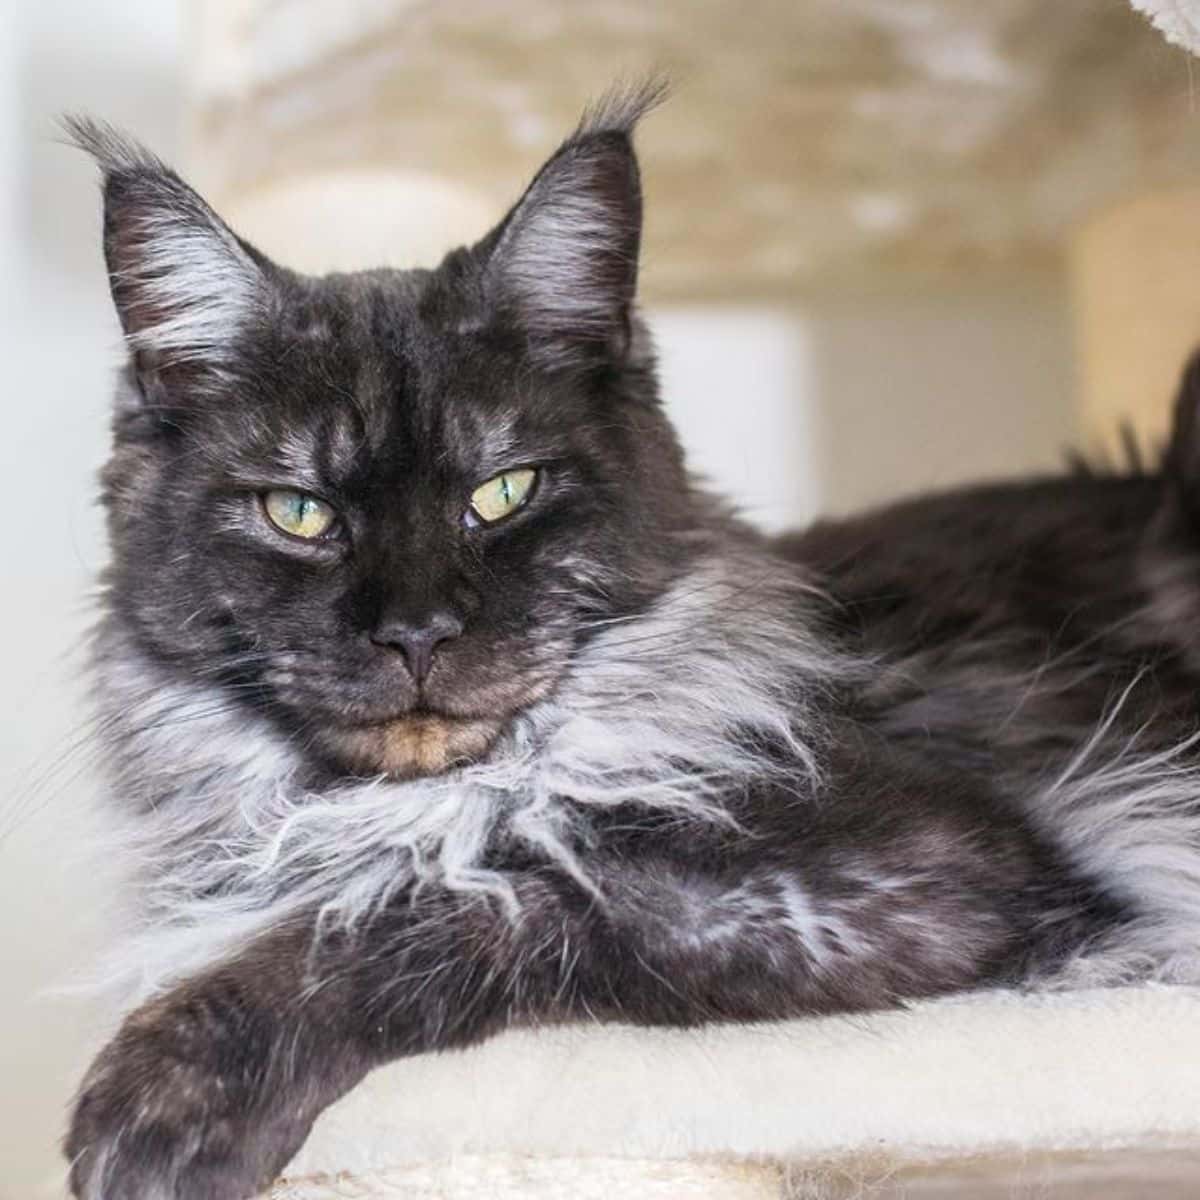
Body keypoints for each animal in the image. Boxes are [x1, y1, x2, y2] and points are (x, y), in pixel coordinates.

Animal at [63, 87, 1200, 1200]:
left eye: (504, 492)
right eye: (299, 513)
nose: (418, 632)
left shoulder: (921, 874)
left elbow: (456, 903)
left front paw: (165, 1098)